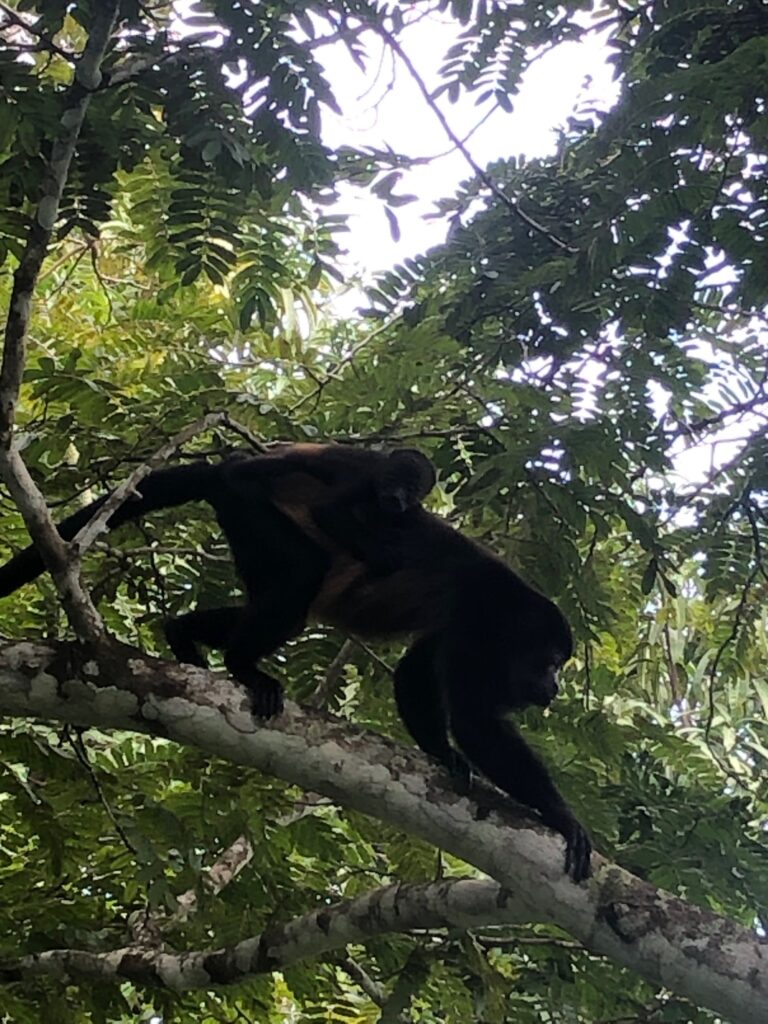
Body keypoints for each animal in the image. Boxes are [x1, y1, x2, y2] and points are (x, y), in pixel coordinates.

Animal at [0, 441, 591, 881]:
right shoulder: (476, 625)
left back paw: (183, 635)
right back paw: (241, 665)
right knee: (300, 579)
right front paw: (565, 819)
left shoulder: (453, 631)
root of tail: (227, 473)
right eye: (550, 662)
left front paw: (443, 755)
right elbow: (475, 723)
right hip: (254, 512)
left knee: (285, 600)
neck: (509, 611)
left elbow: (413, 677)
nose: (555, 687)